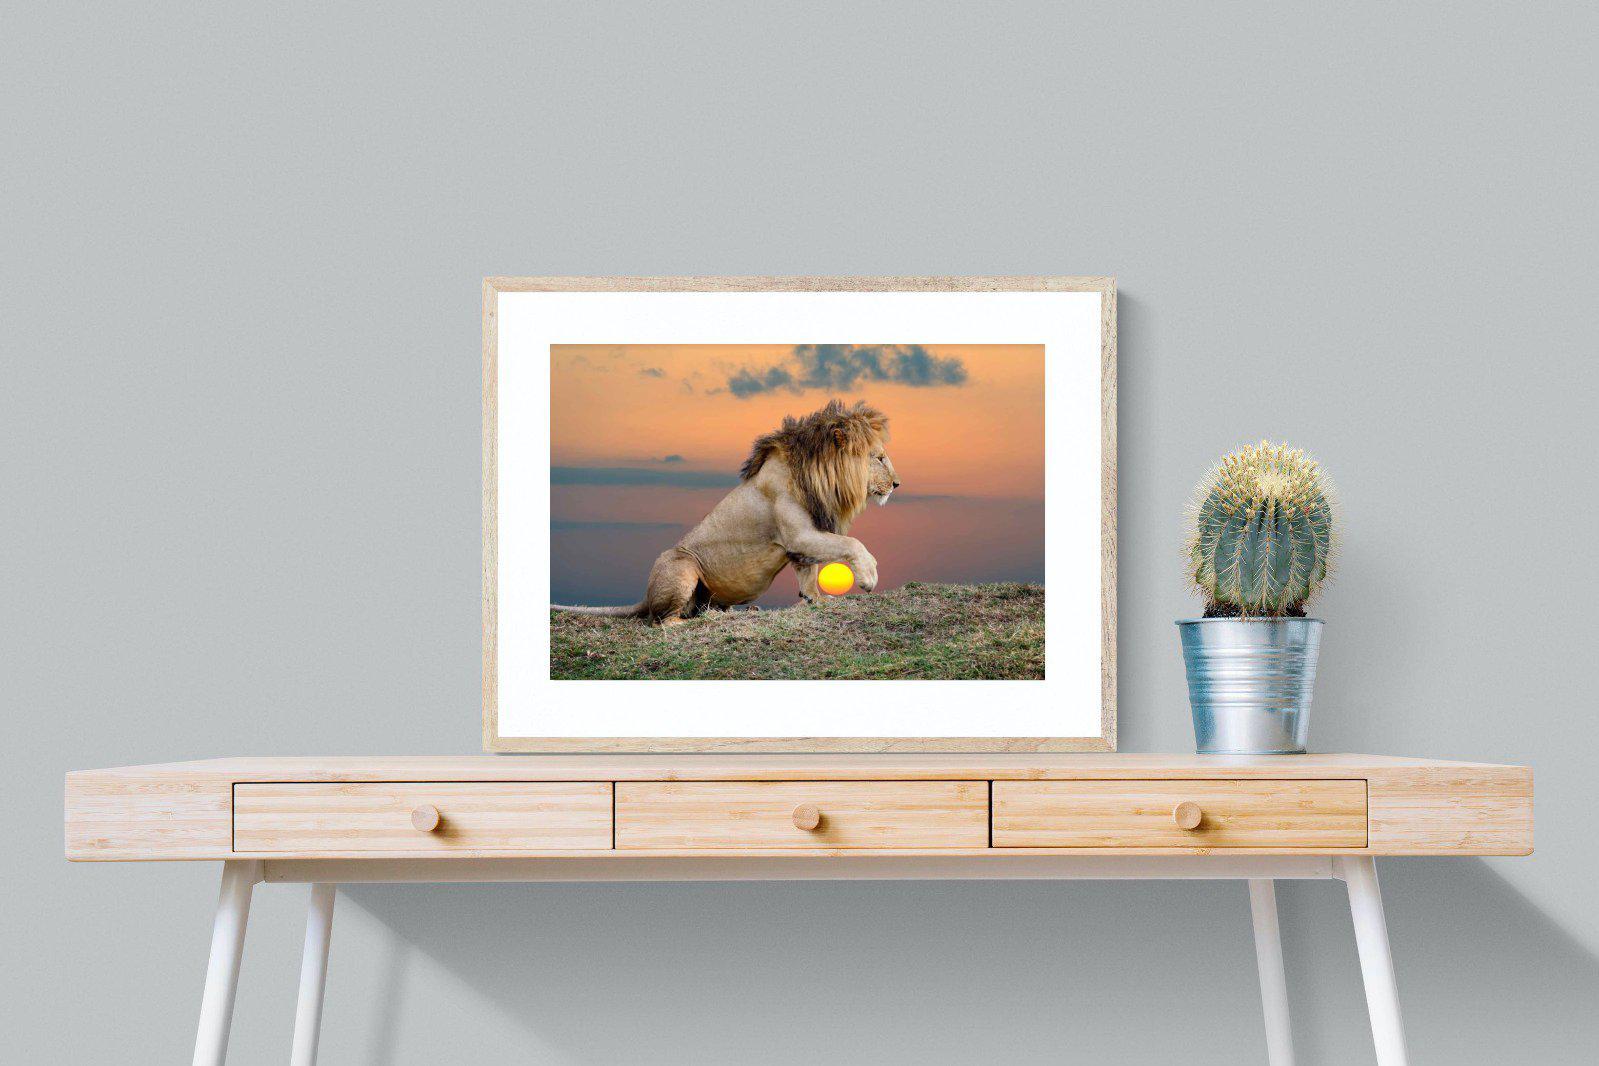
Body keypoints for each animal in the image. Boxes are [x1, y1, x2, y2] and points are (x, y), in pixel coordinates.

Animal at [553, 399, 900, 625]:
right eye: (879, 457)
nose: (897, 484)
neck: (821, 478)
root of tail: (646, 595)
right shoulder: (799, 534)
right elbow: (851, 543)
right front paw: (868, 577)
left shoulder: (802, 540)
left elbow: (808, 573)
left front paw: (817, 599)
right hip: (681, 565)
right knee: (661, 620)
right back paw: (696, 622)